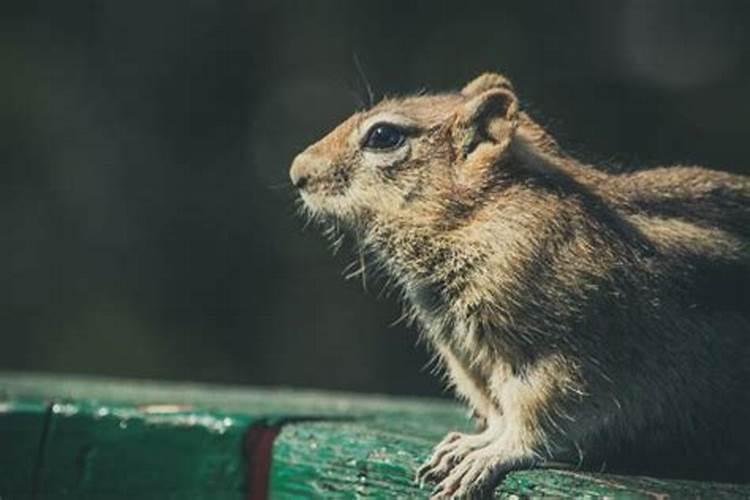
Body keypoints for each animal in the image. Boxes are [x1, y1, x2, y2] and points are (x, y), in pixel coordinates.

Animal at [290, 72, 750, 498]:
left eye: (384, 136)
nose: (297, 172)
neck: (477, 216)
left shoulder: (557, 359)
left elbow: (535, 423)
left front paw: (489, 456)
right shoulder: (469, 360)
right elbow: (497, 413)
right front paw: (469, 444)